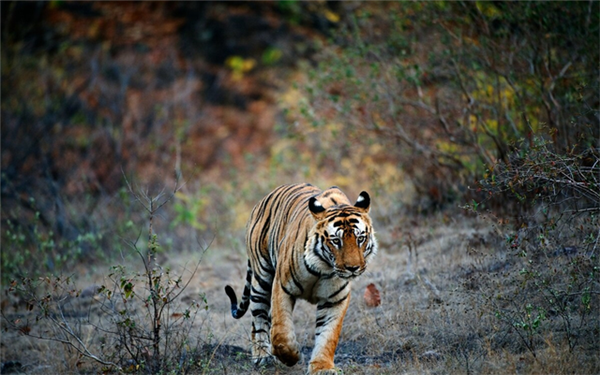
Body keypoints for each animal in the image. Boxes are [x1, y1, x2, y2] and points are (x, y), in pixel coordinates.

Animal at [225, 184, 380, 374]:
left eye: (360, 238)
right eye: (336, 241)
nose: (353, 268)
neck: (324, 268)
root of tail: (263, 199)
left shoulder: (335, 299)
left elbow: (328, 335)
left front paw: (322, 368)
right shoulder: (282, 287)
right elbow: (281, 332)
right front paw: (290, 357)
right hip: (261, 279)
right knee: (259, 318)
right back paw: (262, 357)